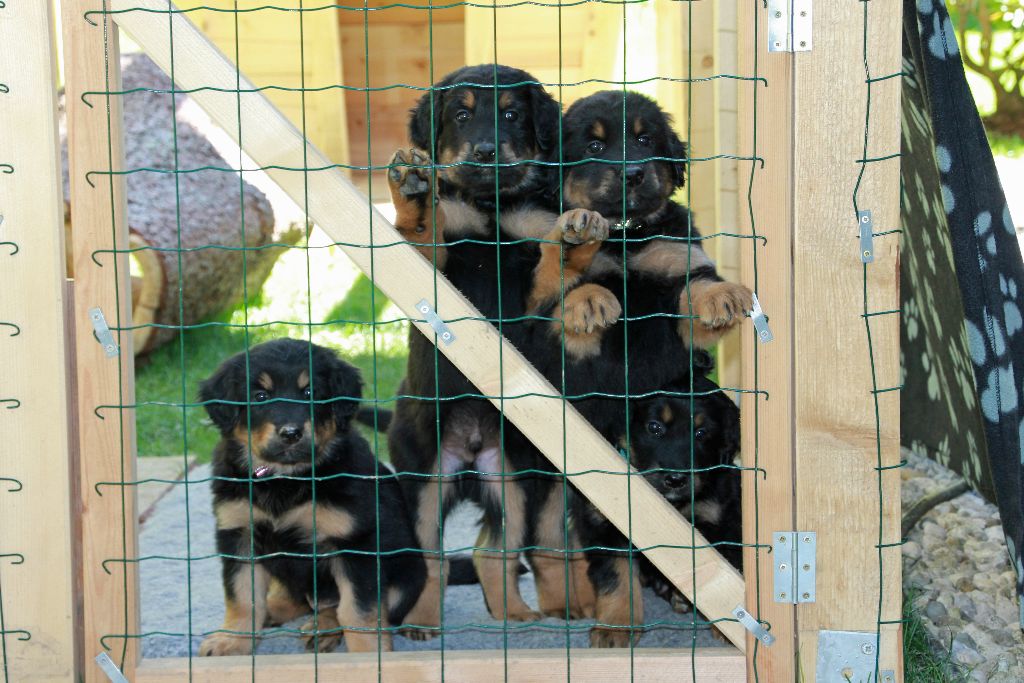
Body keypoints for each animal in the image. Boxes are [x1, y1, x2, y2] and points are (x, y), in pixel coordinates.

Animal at [197, 338, 426, 655]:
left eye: (310, 393)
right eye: (260, 396)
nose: (291, 433)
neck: (286, 480)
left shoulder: (355, 542)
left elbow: (357, 611)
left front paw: (369, 655)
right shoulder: (239, 532)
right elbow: (242, 597)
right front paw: (232, 641)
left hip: (407, 576)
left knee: (337, 606)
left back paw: (323, 627)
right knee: (293, 596)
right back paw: (274, 611)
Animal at [385, 64, 598, 635]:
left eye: (512, 114)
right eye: (461, 114)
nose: (484, 150)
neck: (489, 204)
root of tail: (470, 446)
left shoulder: (530, 291)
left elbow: (552, 264)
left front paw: (575, 239)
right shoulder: (432, 270)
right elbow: (423, 228)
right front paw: (413, 189)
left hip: (514, 476)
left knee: (492, 551)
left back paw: (514, 615)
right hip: (423, 478)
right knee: (431, 558)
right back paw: (421, 623)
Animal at [527, 90, 754, 358]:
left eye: (644, 139)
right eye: (595, 146)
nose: (633, 174)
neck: (625, 232)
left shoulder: (677, 259)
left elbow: (696, 287)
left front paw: (721, 293)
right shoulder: (546, 326)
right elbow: (557, 284)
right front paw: (587, 293)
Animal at [573, 372, 742, 647]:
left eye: (701, 433)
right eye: (654, 428)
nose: (675, 479)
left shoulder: (723, 523)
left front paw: (727, 627)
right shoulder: (610, 530)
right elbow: (617, 577)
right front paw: (615, 628)